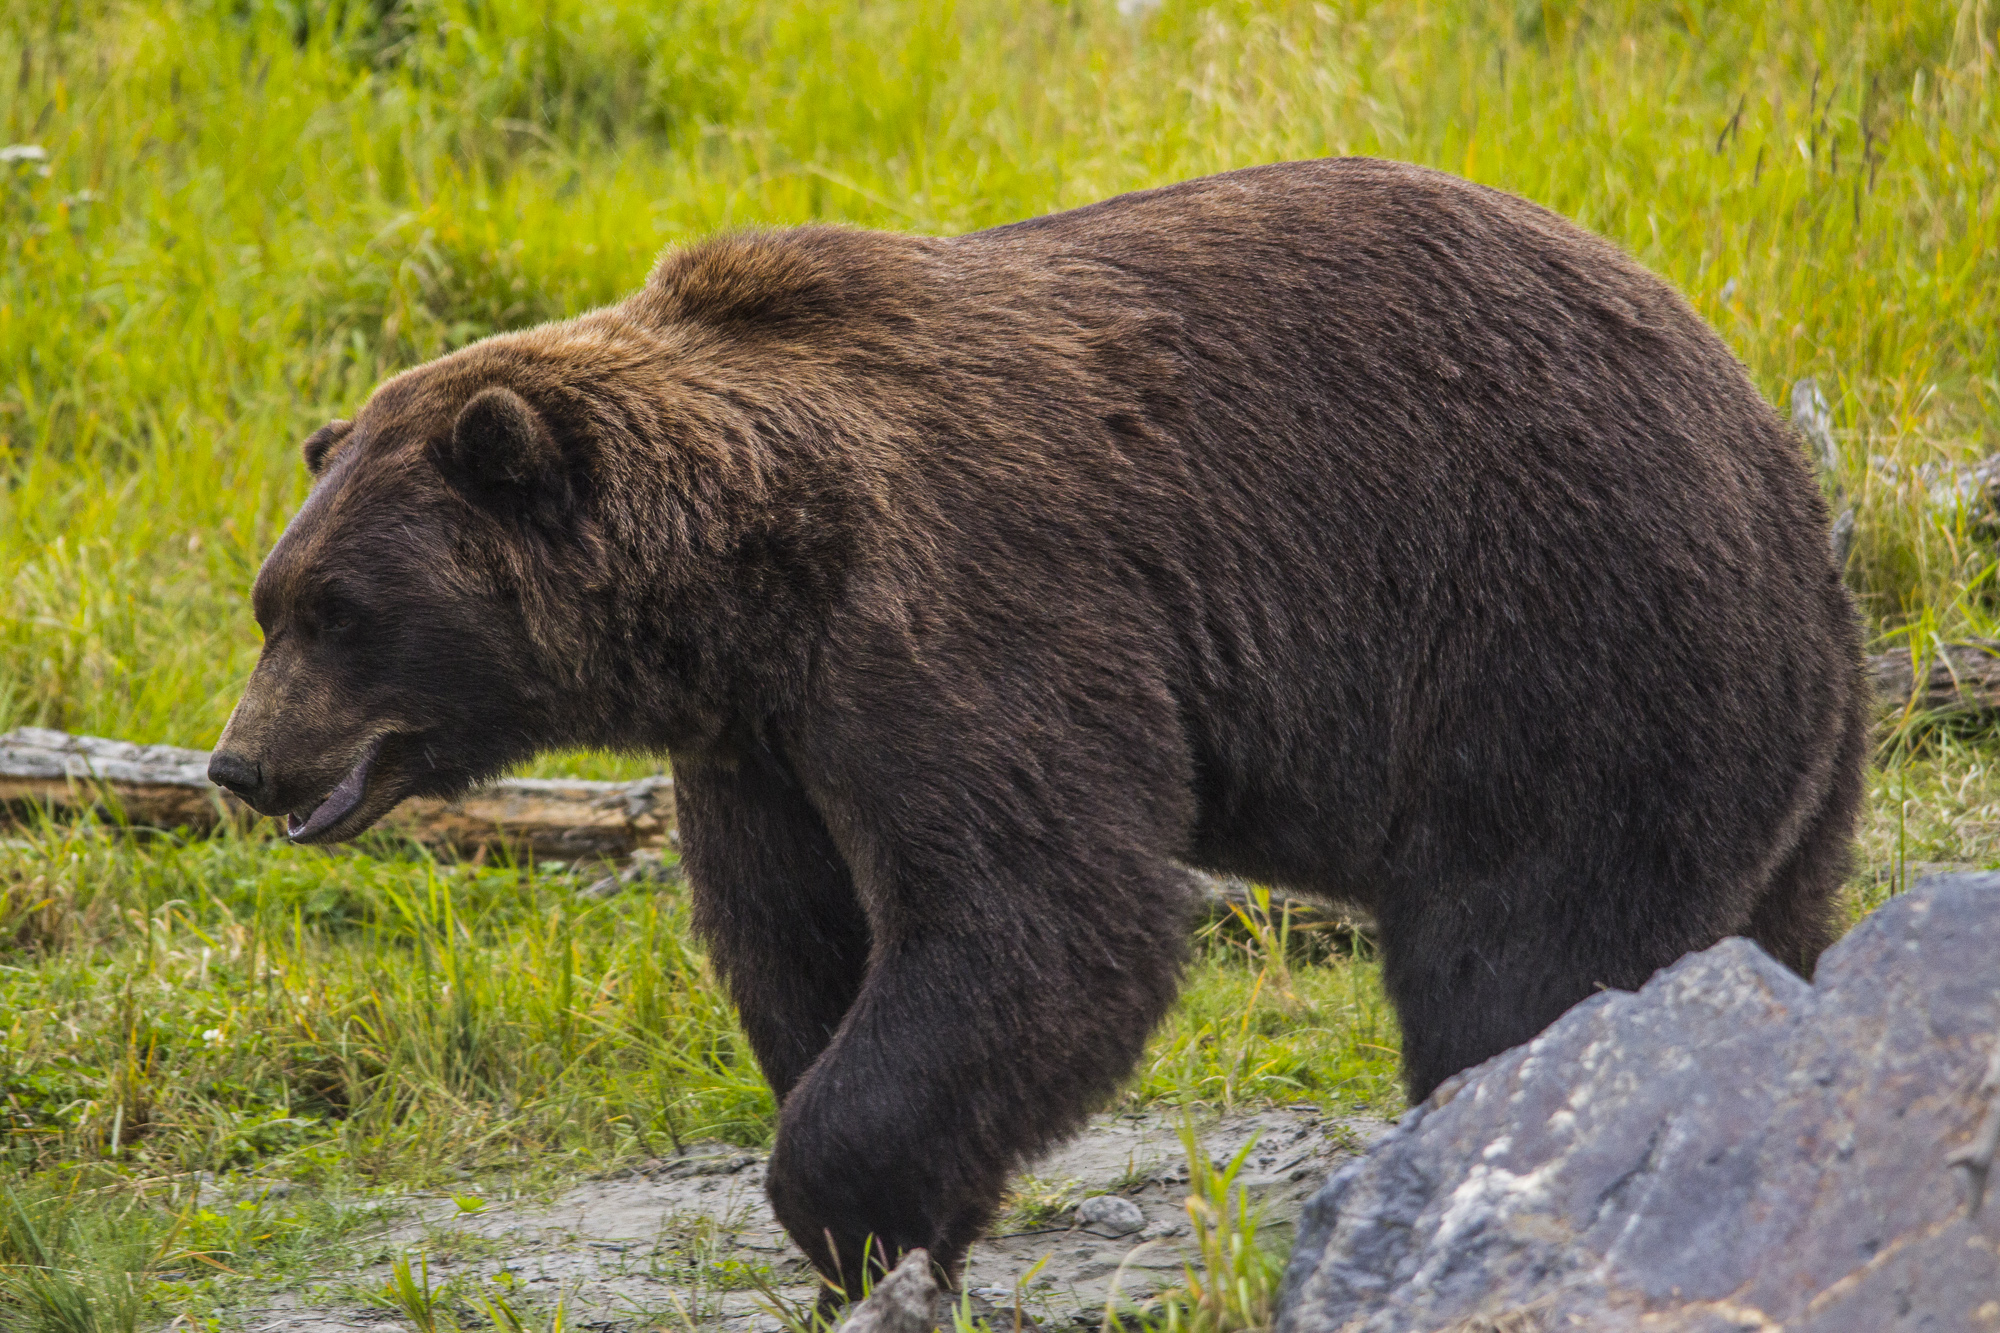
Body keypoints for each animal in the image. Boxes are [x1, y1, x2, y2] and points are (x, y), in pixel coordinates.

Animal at [208, 157, 1867, 1296]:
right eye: (271, 597)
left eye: (339, 609)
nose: (240, 762)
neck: (747, 573)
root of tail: (1784, 474)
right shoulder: (767, 733)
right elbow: (799, 936)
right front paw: (896, 1227)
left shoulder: (967, 610)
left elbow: (1037, 915)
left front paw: (852, 1204)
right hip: (1760, 736)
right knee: (1755, 913)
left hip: (1557, 641)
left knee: (1522, 950)